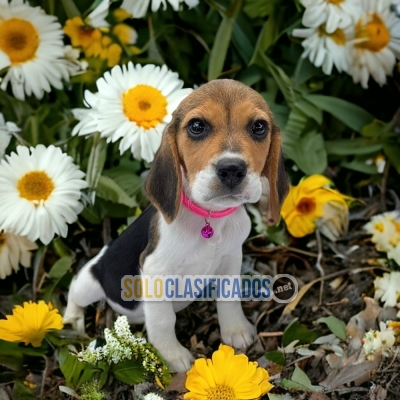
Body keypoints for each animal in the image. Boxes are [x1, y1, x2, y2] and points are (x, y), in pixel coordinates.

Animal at [65, 79, 290, 374]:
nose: (231, 169)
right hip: (90, 282)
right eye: (197, 126)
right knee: (74, 292)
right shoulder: (155, 272)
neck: (210, 218)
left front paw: (236, 331)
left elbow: (229, 298)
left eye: (259, 127)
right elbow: (163, 321)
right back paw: (72, 322)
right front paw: (172, 357)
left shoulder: (232, 257)